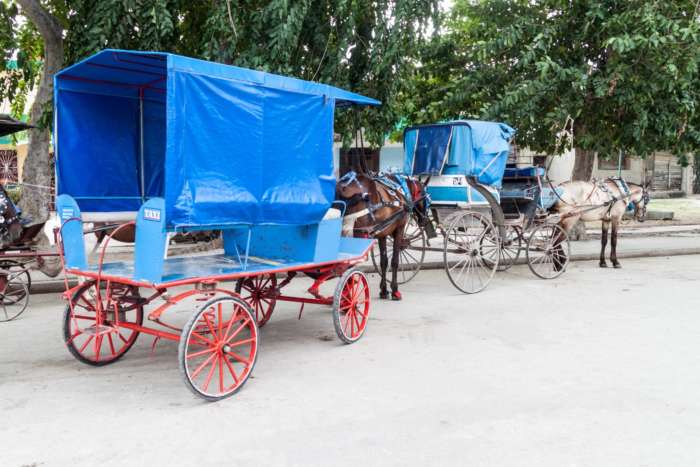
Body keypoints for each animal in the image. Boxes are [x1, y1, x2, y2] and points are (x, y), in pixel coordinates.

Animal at [338, 172, 430, 300]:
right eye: (426, 198)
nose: (425, 220)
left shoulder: (382, 234)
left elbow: (383, 262)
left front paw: (384, 290)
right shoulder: (399, 229)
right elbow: (395, 261)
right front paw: (395, 290)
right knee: (349, 264)